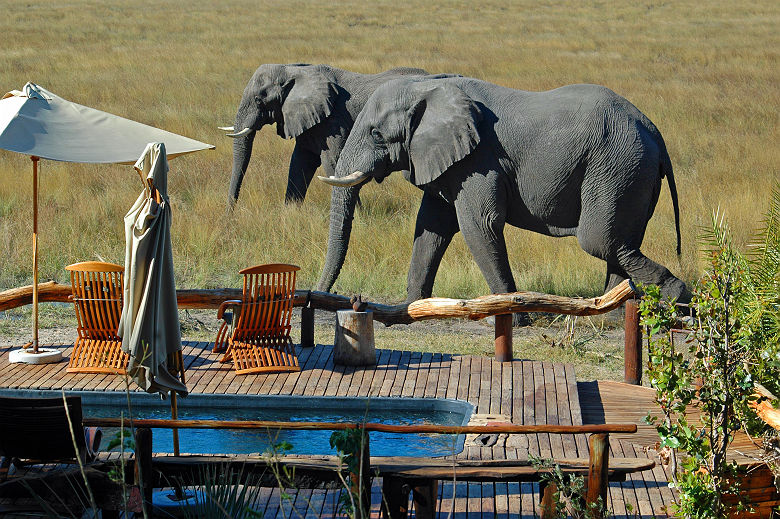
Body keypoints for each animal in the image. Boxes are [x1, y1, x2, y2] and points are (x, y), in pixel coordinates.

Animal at [222, 64, 438, 210]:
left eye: (259, 100)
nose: (231, 213)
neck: (294, 70)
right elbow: (300, 162)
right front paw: (289, 214)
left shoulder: (335, 120)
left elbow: (332, 161)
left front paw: (360, 218)